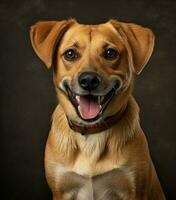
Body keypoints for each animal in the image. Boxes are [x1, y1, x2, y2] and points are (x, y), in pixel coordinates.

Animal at [29, 18, 166, 199]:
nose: (88, 80)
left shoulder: (135, 191)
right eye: (70, 54)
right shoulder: (61, 191)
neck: (91, 134)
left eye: (110, 53)